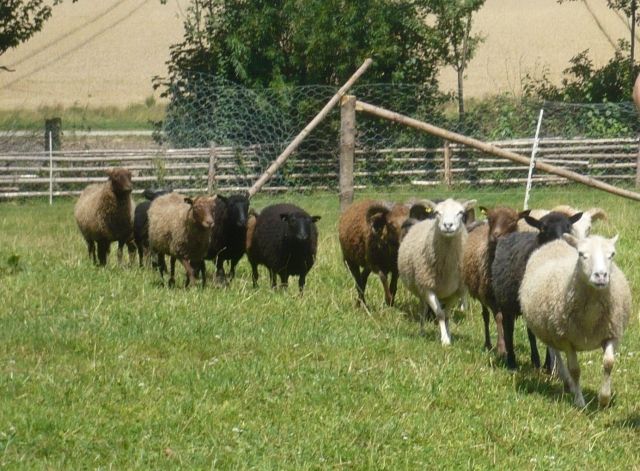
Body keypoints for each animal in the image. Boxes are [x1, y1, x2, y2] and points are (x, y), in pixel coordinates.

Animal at [397, 198, 476, 345]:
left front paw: (449, 336)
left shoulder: (455, 292)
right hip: (420, 290)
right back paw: (422, 331)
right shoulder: (428, 288)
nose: (448, 225)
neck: (447, 269)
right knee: (423, 309)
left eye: (461, 213)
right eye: (437, 213)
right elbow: (439, 314)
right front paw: (444, 340)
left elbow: (447, 315)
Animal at [462, 206, 529, 354]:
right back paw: (488, 344)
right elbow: (499, 318)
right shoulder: (490, 297)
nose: (495, 235)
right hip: (481, 293)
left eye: (513, 221)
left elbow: (509, 322)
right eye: (490, 219)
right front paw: (501, 349)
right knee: (485, 316)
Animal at [491, 211, 583, 370]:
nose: (560, 242)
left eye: (568, 226)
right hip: (506, 302)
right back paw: (512, 362)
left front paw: (550, 366)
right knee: (509, 330)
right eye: (543, 228)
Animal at [520, 234, 631, 408]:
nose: (601, 275)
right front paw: (580, 402)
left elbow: (609, 363)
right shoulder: (566, 340)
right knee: (556, 354)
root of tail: (557, 241)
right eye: (581, 254)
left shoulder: (612, 333)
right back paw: (568, 383)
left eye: (612, 254)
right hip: (552, 331)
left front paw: (604, 399)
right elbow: (575, 370)